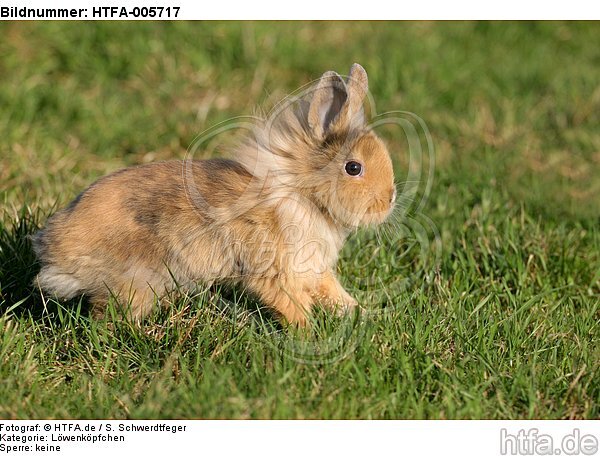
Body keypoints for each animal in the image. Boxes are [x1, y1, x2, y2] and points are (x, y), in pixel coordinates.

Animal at [34, 64, 398, 326]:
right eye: (353, 168)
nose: (390, 201)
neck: (305, 196)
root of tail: (53, 253)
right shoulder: (277, 273)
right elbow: (290, 304)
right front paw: (308, 333)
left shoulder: (314, 270)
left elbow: (333, 293)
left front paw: (361, 313)